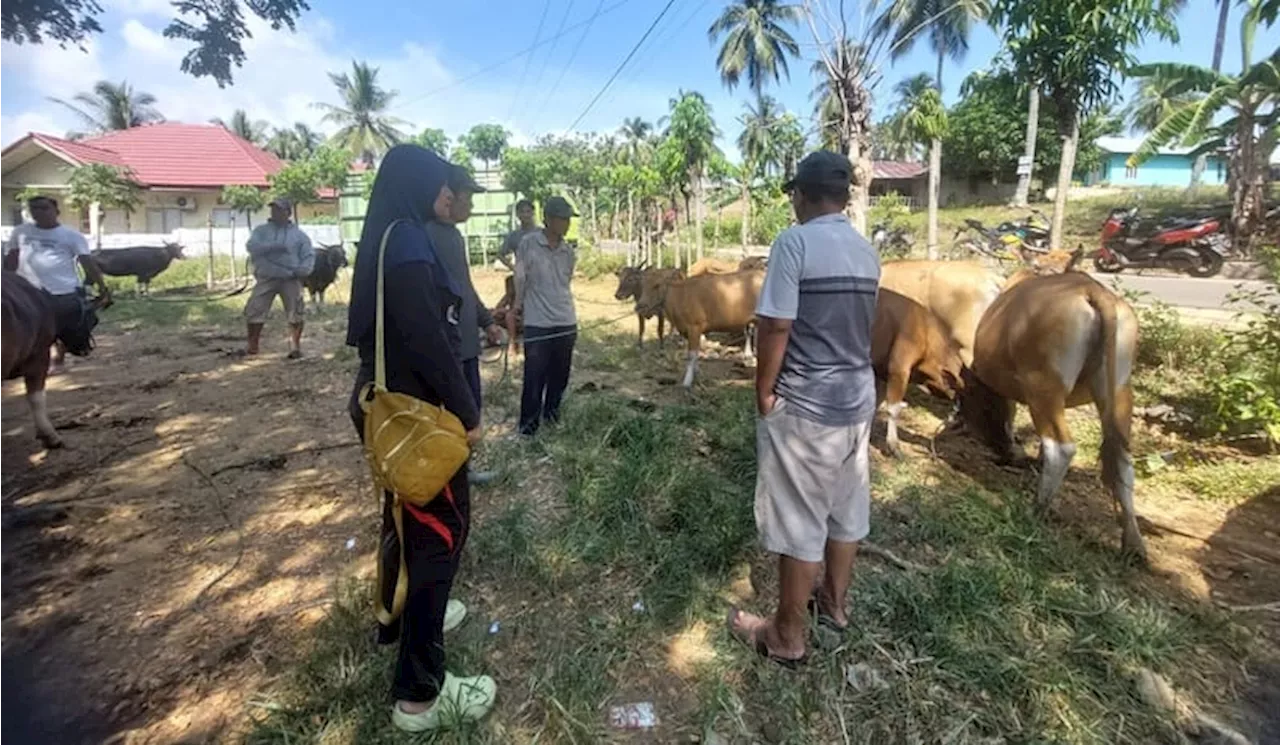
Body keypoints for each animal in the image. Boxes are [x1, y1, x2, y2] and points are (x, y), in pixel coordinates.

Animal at [957, 271, 1146, 563]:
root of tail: (1092, 290)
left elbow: (1010, 413)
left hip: (1043, 388)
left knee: (1061, 447)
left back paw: (1037, 509)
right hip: (1119, 390)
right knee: (1122, 460)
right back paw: (1134, 543)